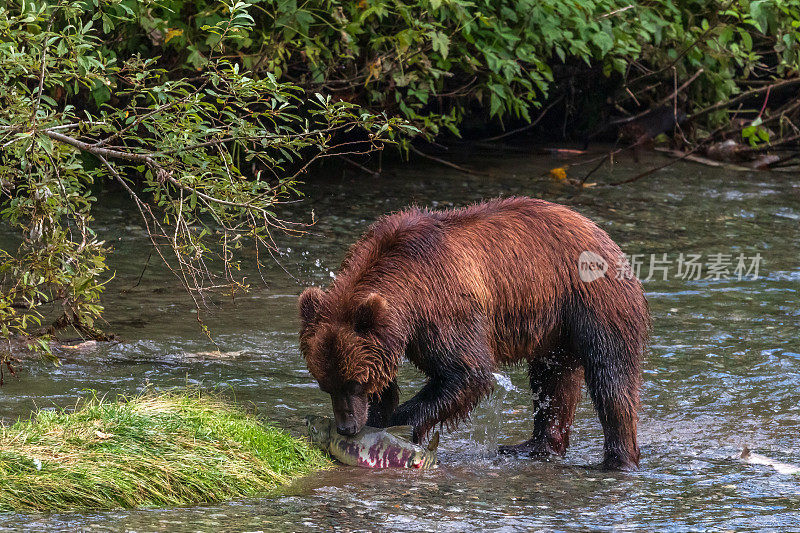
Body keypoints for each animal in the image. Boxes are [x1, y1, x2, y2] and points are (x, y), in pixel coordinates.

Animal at [300, 196, 648, 470]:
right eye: (326, 384)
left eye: (354, 383)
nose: (347, 427)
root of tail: (602, 233)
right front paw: (378, 414)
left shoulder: (445, 306)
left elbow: (466, 372)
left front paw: (399, 424)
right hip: (554, 329)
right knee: (552, 382)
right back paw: (532, 447)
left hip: (594, 303)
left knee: (611, 378)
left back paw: (618, 460)